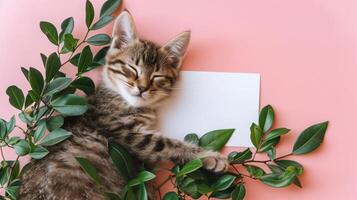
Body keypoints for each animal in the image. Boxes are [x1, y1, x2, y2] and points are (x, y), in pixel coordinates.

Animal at [18, 11, 227, 199]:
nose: (142, 88)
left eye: (156, 76)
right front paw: (211, 157)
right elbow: (168, 145)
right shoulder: (125, 132)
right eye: (132, 68)